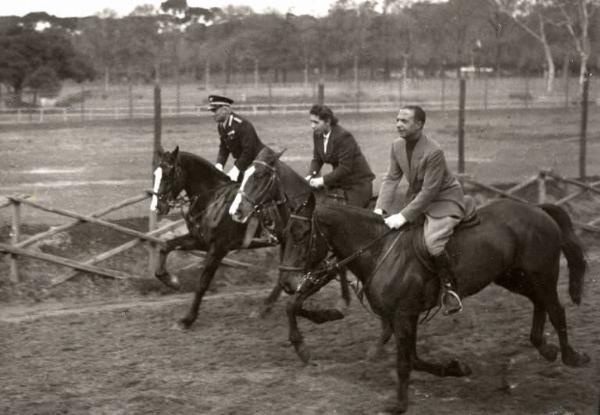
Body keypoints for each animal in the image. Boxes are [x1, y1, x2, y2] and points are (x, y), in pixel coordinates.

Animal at [151, 146, 284, 328]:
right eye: (155, 174)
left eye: (168, 174)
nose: (157, 207)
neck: (210, 199)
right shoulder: (199, 240)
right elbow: (166, 246)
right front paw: (172, 281)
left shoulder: (219, 248)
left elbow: (203, 282)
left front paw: (187, 319)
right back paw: (264, 308)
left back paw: (266, 307)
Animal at [282, 194, 592, 412]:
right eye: (284, 234)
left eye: (302, 234)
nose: (287, 282)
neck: (379, 250)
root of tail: (537, 209)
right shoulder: (404, 317)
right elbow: (414, 358)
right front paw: (455, 368)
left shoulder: (404, 315)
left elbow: (405, 362)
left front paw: (399, 404)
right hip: (513, 277)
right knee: (540, 303)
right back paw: (545, 347)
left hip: (542, 274)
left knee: (557, 310)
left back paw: (571, 356)